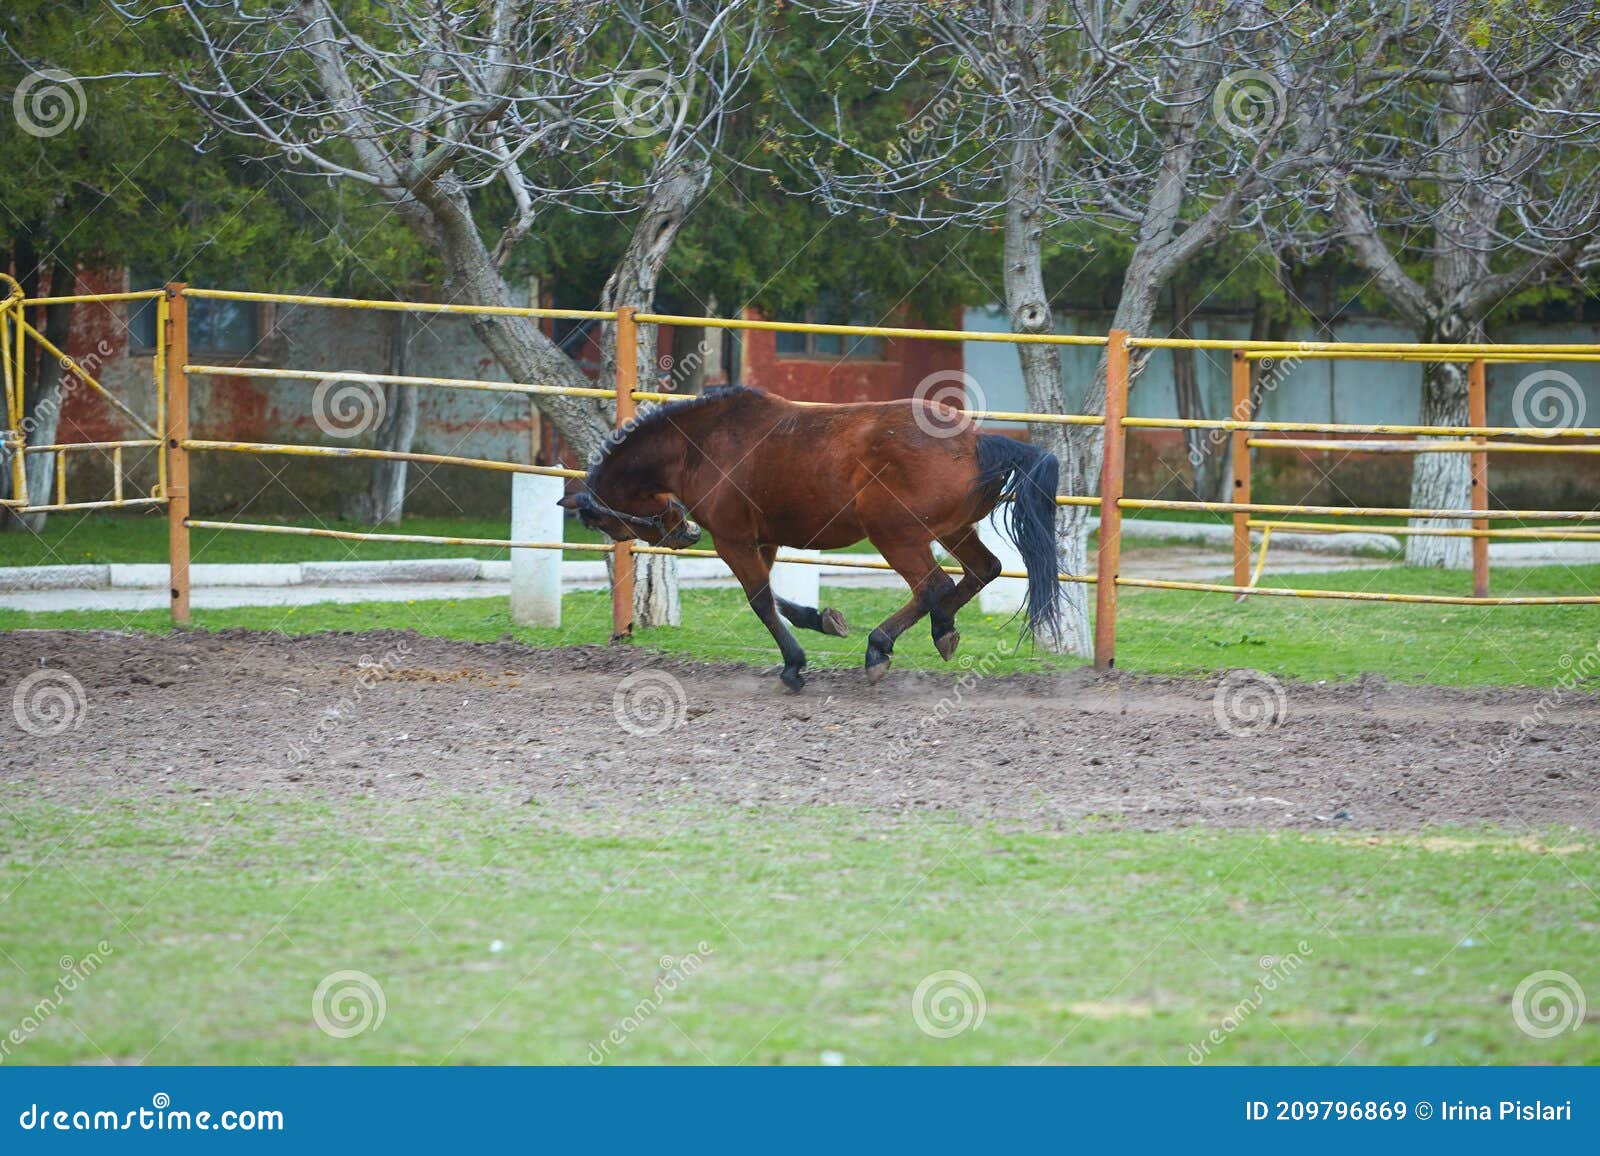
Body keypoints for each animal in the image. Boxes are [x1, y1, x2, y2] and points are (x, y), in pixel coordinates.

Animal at [563, 387, 1062, 688]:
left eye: (605, 522)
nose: (681, 535)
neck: (701, 444)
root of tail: (977, 442)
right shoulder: (762, 540)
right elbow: (774, 597)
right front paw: (822, 619)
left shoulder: (732, 540)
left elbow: (760, 601)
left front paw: (794, 665)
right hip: (953, 530)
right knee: (982, 571)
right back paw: (942, 629)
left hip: (896, 536)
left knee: (933, 586)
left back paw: (880, 648)